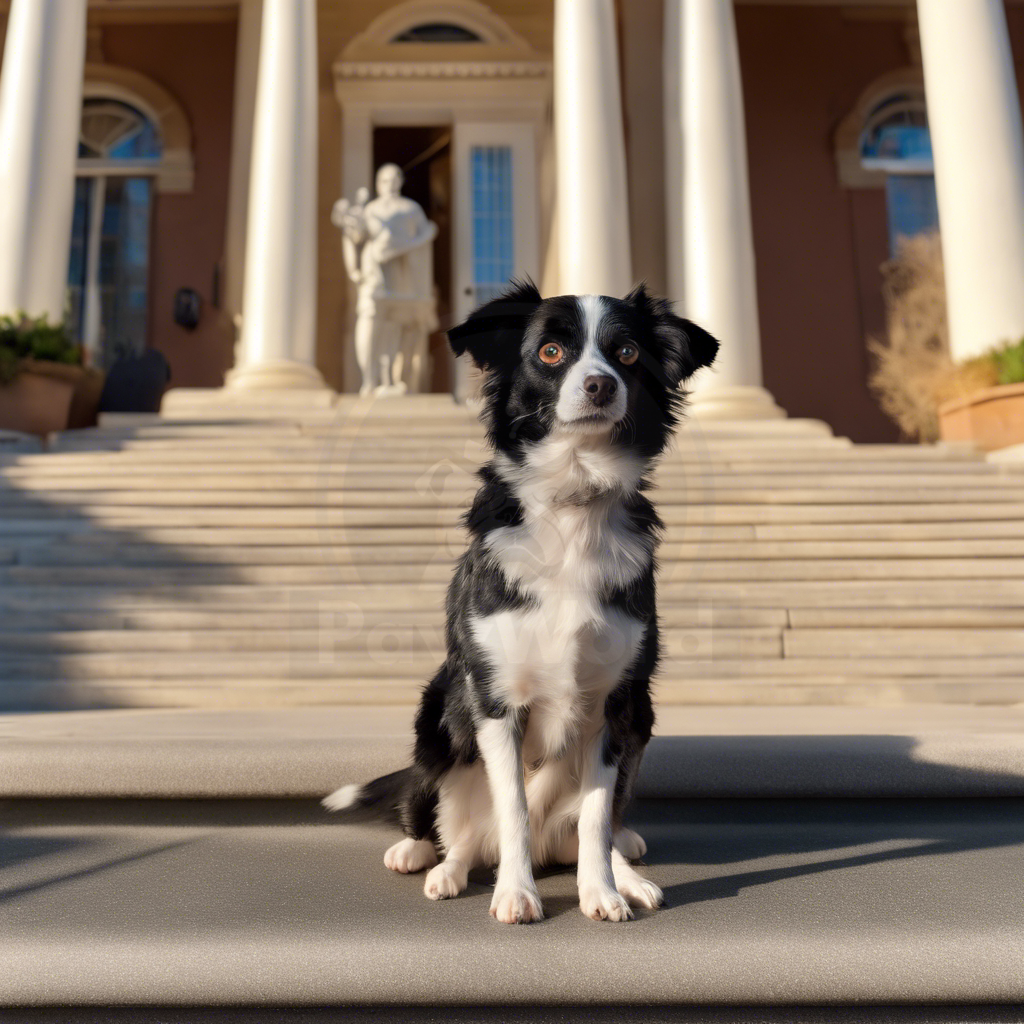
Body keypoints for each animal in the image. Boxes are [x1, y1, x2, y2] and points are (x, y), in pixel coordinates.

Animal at [323, 278, 716, 921]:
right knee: (448, 822)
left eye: (627, 353)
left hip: (644, 715)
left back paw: (626, 866)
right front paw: (516, 892)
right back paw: (428, 859)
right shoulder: (496, 700)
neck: (574, 496)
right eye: (551, 352)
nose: (601, 384)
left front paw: (602, 890)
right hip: (440, 714)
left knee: (588, 824)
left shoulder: (615, 703)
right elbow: (512, 809)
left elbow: (596, 816)